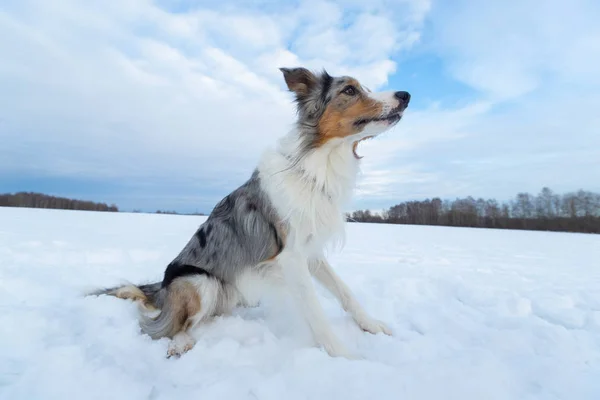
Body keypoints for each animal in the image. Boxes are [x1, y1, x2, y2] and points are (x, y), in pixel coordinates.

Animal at [88, 67, 408, 358]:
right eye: (350, 90)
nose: (406, 95)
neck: (318, 162)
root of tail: (162, 289)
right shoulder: (291, 256)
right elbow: (316, 313)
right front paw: (345, 357)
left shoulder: (312, 251)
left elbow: (345, 291)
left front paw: (371, 325)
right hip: (200, 282)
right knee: (169, 325)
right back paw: (180, 343)